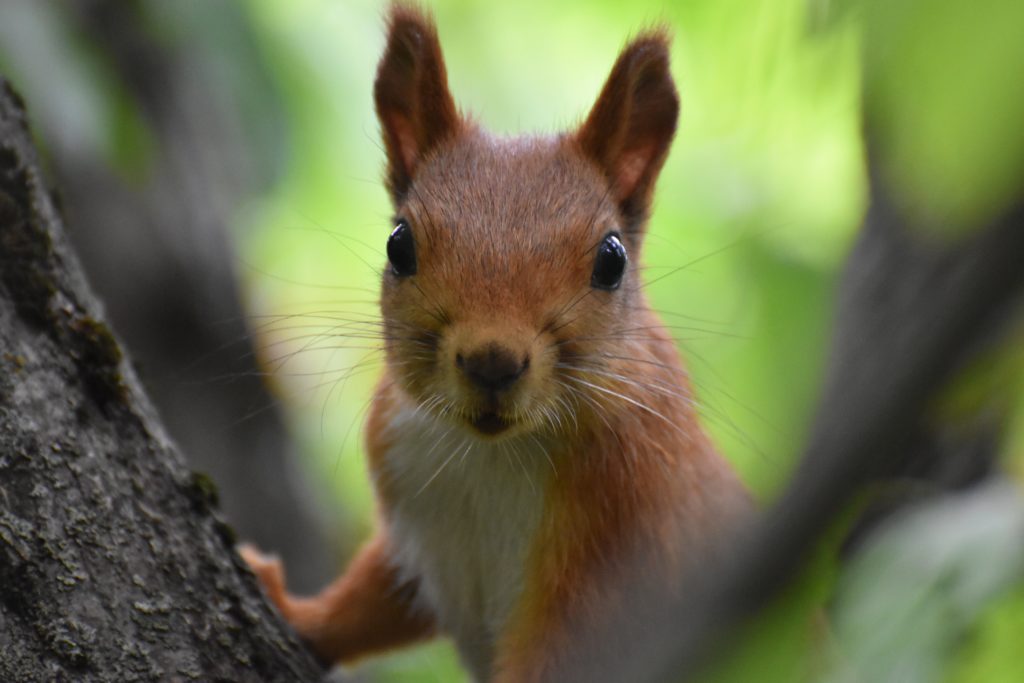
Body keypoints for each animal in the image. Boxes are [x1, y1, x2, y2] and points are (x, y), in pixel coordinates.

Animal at [240, 6, 753, 683]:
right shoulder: (413, 524)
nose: (492, 361)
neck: (492, 455)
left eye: (611, 260)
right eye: (398, 244)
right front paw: (292, 607)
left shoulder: (621, 552)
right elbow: (374, 601)